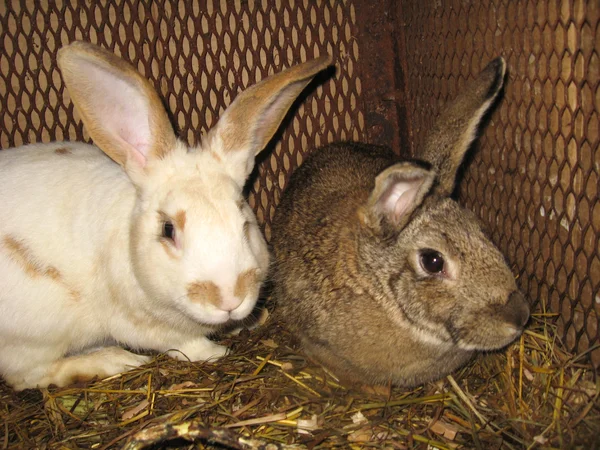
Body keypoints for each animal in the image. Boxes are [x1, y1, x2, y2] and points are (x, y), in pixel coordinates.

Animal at [0, 42, 332, 390]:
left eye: (244, 220)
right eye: (168, 230)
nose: (229, 299)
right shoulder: (142, 324)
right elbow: (185, 343)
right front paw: (216, 352)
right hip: (34, 337)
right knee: (27, 376)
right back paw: (114, 360)